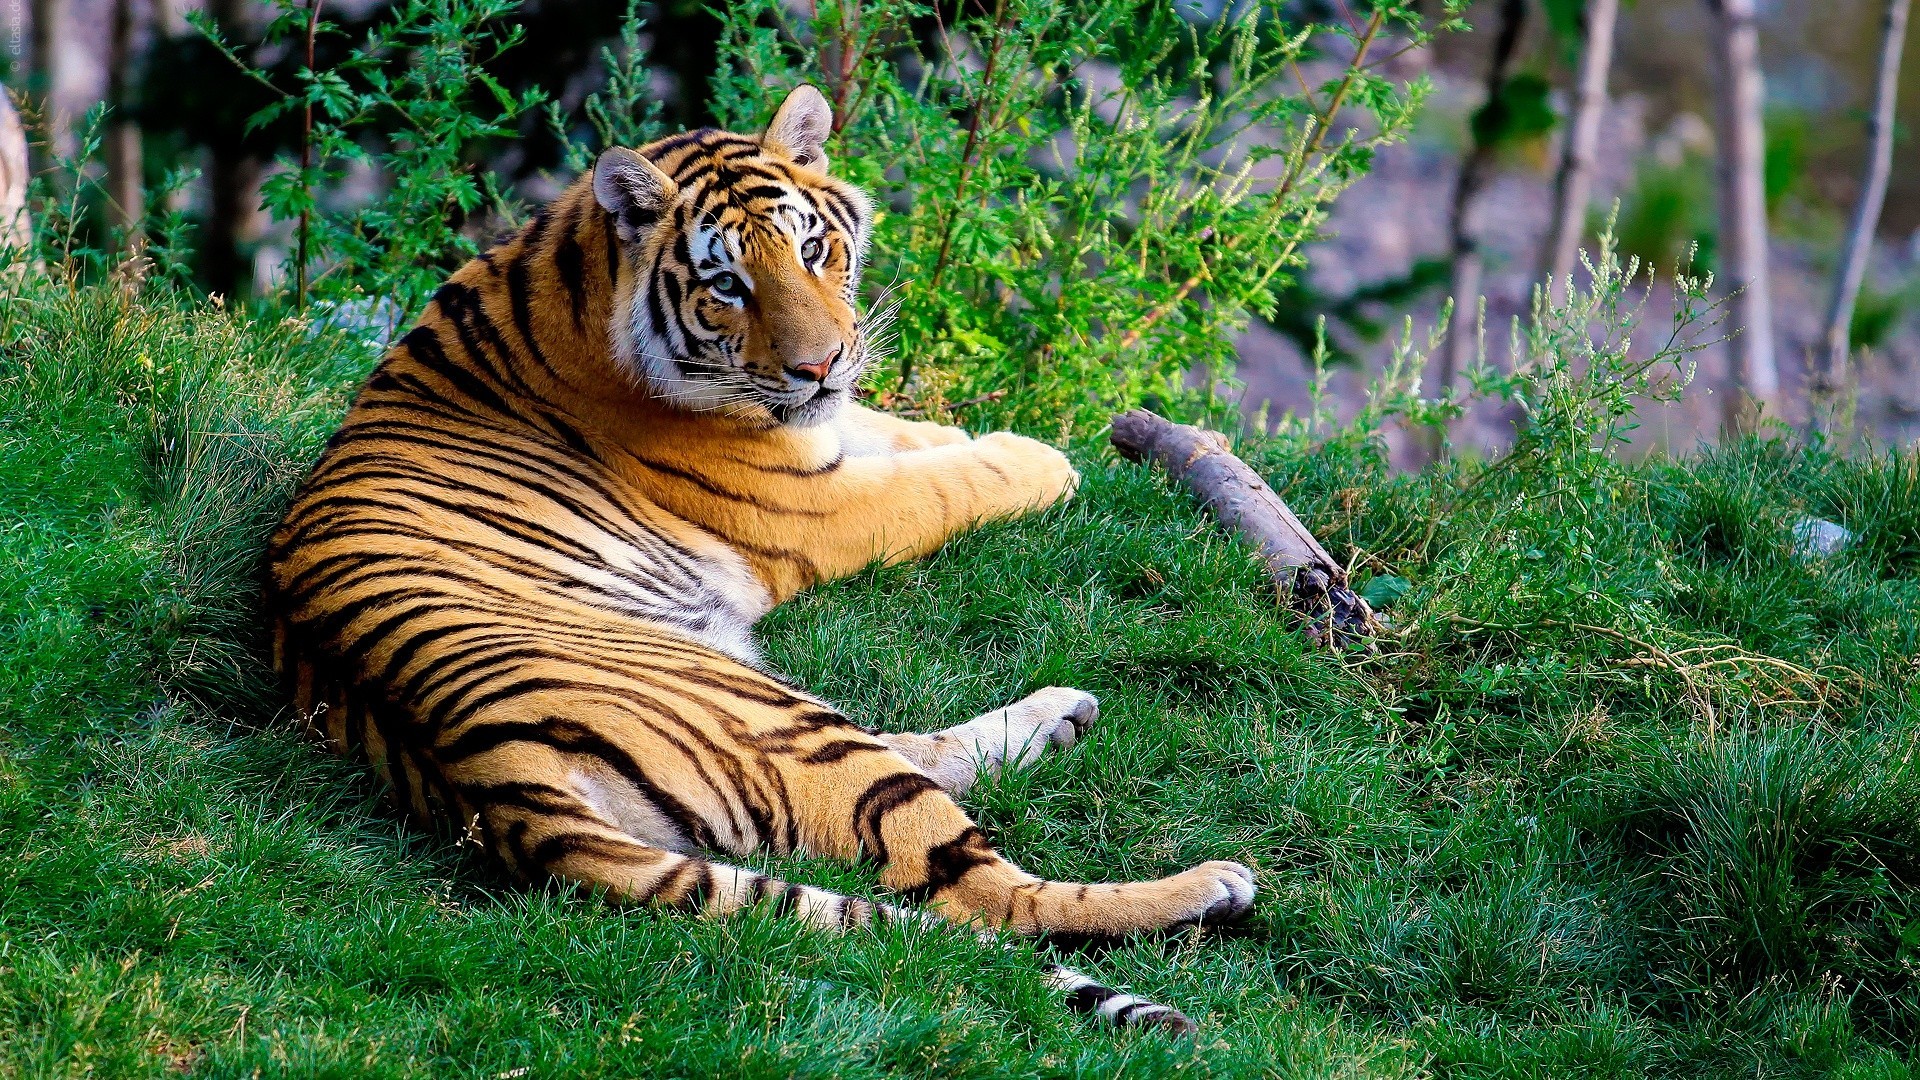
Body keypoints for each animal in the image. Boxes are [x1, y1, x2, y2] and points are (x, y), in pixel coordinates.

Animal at [270, 82, 1259, 1022]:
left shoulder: (823, 435)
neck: (575, 274)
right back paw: (1208, 885)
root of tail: (487, 779)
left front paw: (954, 428)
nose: (818, 366)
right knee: (984, 895)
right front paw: (1040, 459)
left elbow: (896, 431)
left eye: (814, 250)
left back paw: (1061, 716)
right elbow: (943, 483)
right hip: (779, 720)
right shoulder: (814, 503)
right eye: (729, 285)